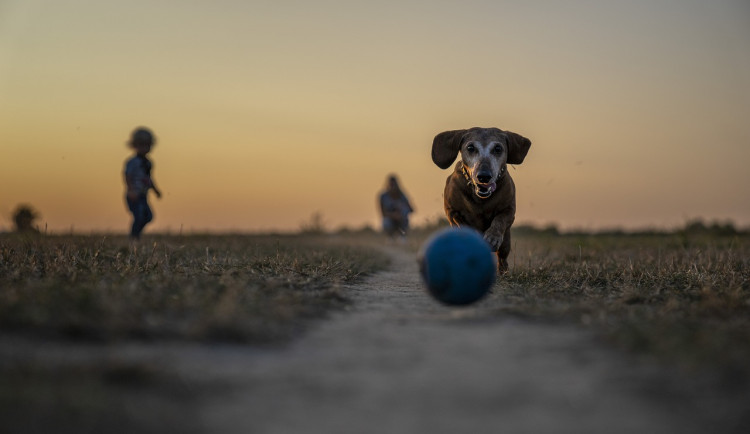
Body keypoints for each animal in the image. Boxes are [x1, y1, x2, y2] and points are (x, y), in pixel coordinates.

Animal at [432, 127, 532, 272]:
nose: (484, 176)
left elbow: (499, 221)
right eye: (470, 147)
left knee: (502, 256)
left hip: (506, 242)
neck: (480, 198)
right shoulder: (451, 211)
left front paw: (492, 237)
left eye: (497, 148)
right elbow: (461, 223)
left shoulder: (509, 210)